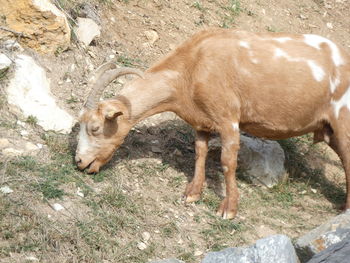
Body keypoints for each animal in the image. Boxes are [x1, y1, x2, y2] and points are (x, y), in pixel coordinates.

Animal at [74, 27, 350, 220]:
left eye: (95, 128)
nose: (79, 162)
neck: (192, 67)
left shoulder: (228, 120)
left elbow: (228, 162)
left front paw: (229, 209)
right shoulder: (202, 122)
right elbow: (200, 153)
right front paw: (192, 194)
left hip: (343, 120)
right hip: (328, 130)